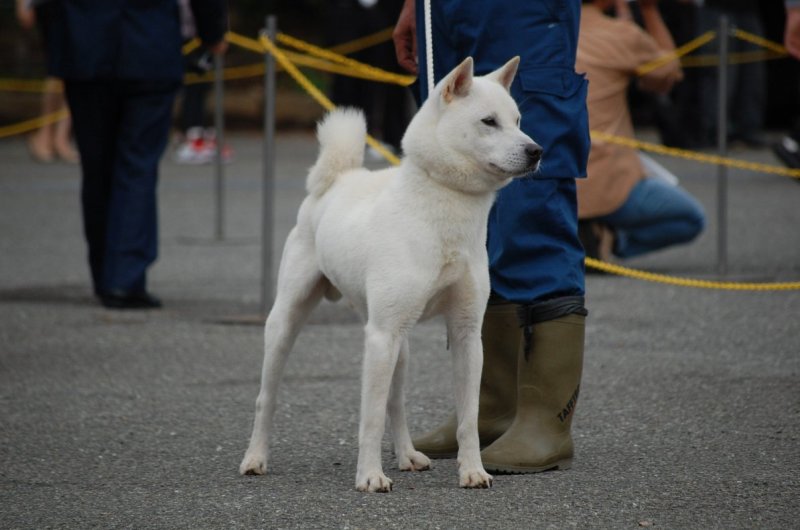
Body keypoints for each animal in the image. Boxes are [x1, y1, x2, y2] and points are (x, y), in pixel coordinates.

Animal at [236, 55, 536, 488]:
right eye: (489, 122)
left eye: (517, 119)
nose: (536, 151)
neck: (447, 207)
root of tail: (336, 180)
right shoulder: (380, 337)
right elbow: (371, 417)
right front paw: (370, 478)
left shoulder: (465, 334)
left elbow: (468, 416)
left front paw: (472, 471)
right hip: (289, 324)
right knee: (267, 397)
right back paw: (255, 457)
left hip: (400, 344)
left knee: (397, 402)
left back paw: (408, 455)